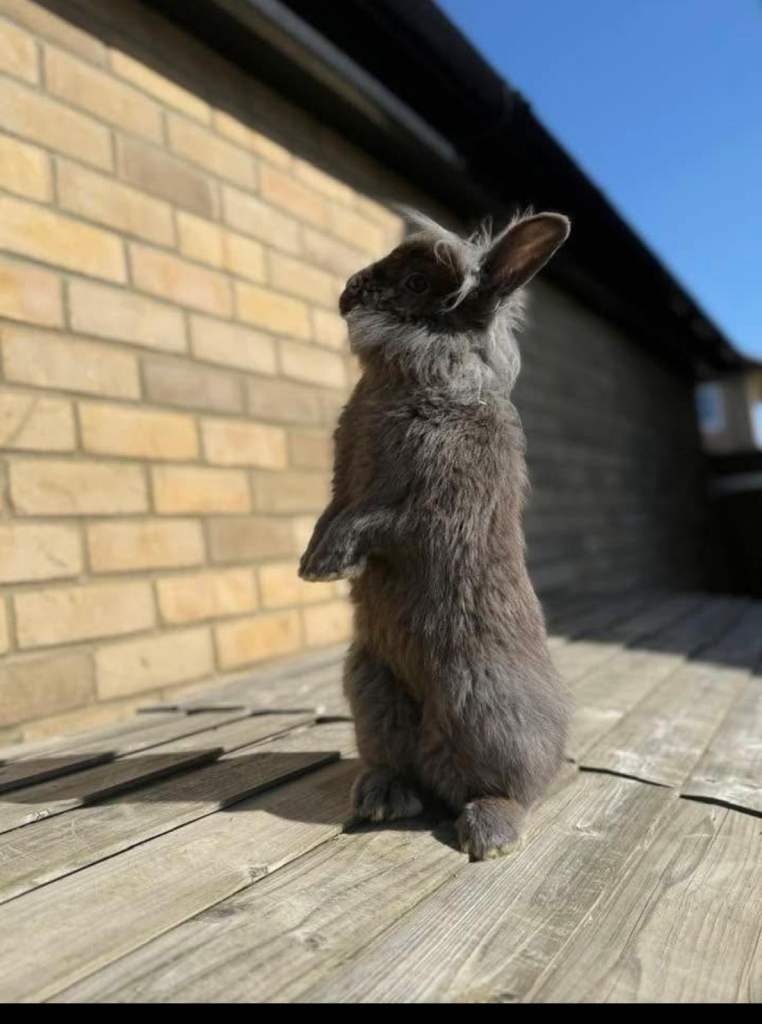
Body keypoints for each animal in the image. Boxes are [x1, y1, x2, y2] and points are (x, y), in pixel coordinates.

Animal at [298, 209, 573, 860]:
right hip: (370, 689)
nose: (347, 292)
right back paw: (382, 797)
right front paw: (311, 563)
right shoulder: (343, 486)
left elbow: (370, 520)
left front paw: (328, 564)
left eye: (419, 283)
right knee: (404, 769)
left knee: (507, 789)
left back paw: (488, 834)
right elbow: (332, 511)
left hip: (484, 707)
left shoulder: (428, 505)